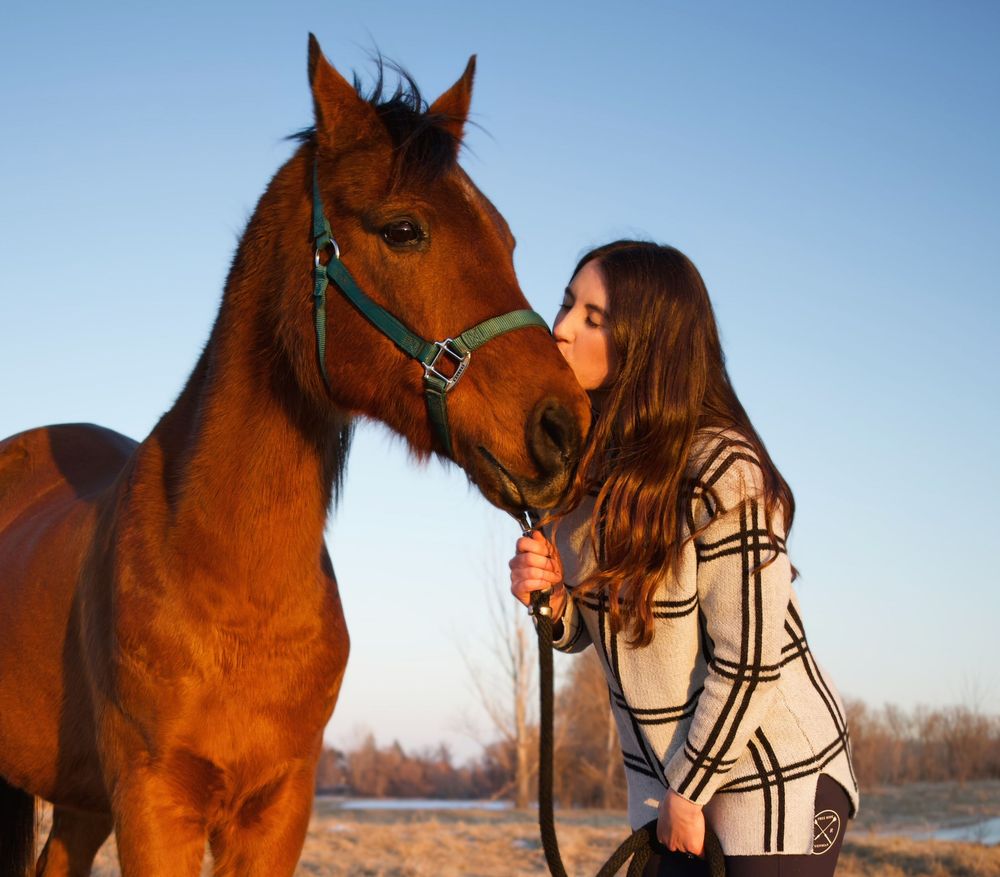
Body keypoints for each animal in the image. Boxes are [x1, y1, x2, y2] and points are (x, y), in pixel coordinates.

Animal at [0, 36, 590, 876]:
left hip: (81, 799)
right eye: (403, 229)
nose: (565, 427)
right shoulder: (155, 803)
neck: (234, 586)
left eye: (505, 239)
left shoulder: (278, 808)